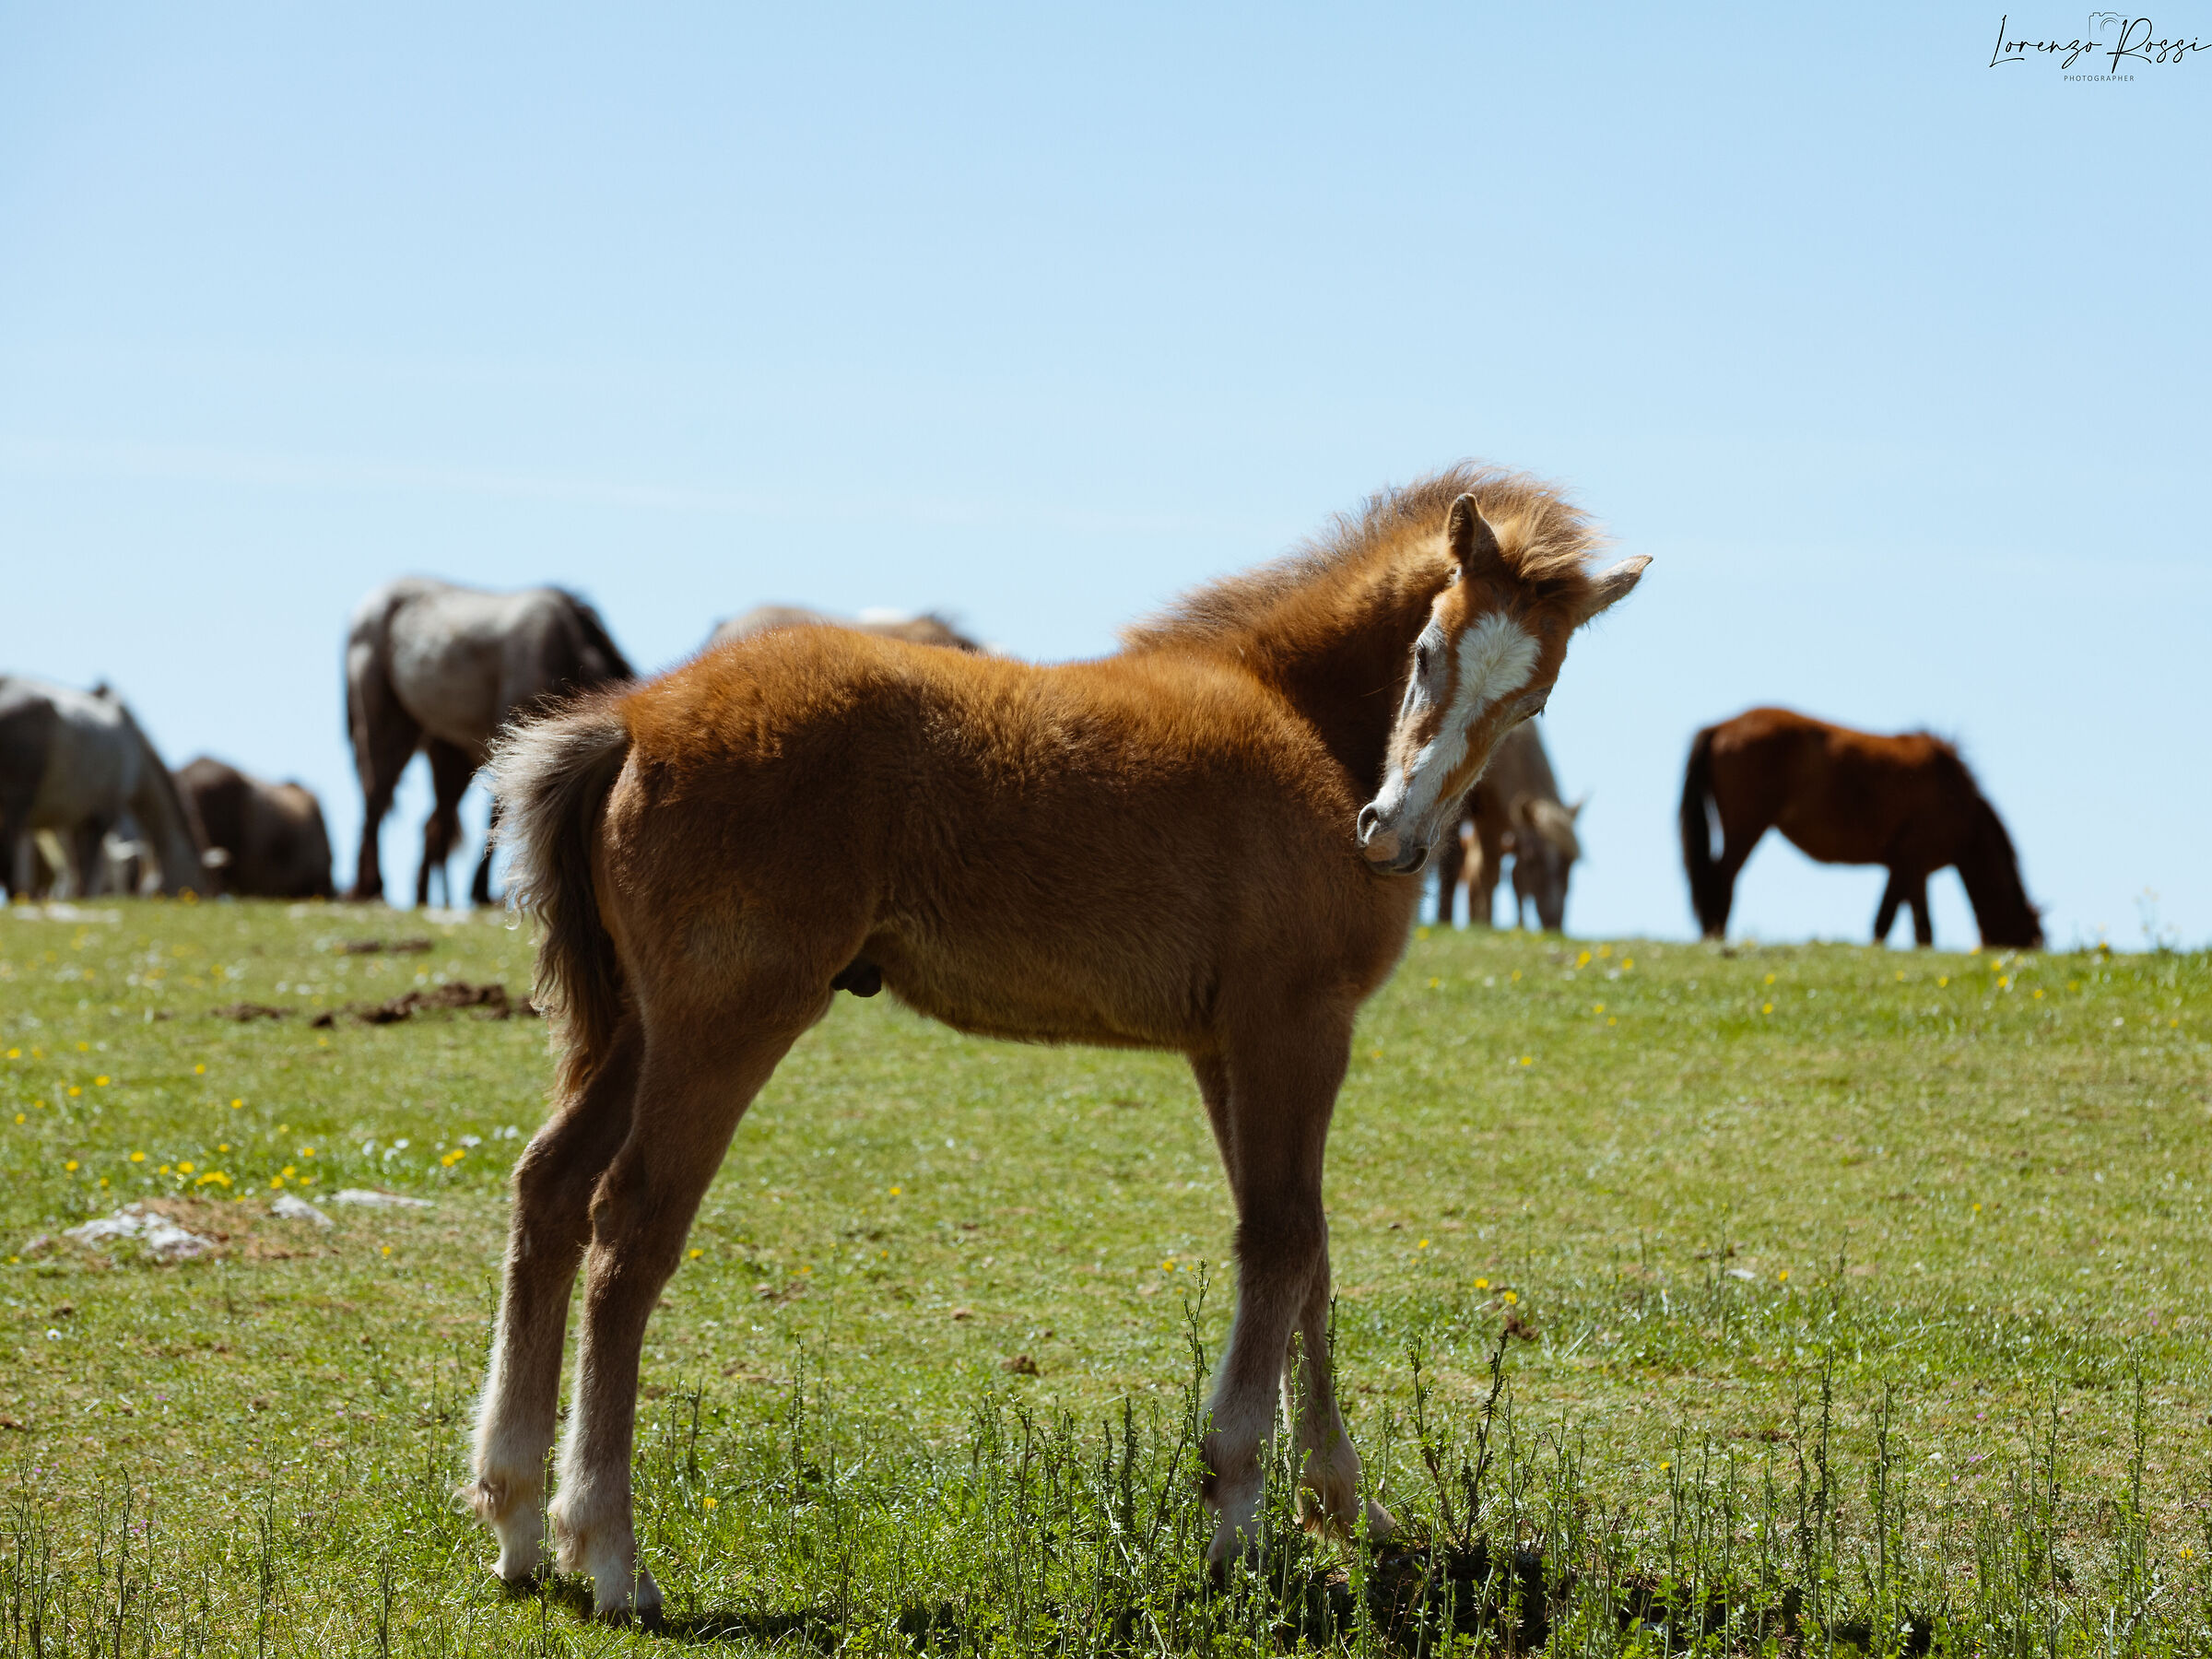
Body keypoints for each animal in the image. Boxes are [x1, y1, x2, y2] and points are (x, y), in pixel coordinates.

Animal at [0, 678, 207, 899]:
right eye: (202, 884)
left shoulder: (74, 821)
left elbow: (77, 872)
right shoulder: (103, 814)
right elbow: (87, 875)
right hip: (17, 804)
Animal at [343, 579, 633, 907]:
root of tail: (363, 611)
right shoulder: (514, 740)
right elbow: (499, 812)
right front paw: (481, 891)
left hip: (446, 751)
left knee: (432, 822)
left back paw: (420, 895)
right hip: (388, 725)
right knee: (376, 800)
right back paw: (370, 888)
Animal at [1430, 722, 1583, 930]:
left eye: (1570, 862)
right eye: (1532, 859)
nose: (1553, 921)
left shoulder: (1495, 814)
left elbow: (1488, 871)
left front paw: (1484, 923)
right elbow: (1453, 863)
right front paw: (1444, 920)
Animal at [1679, 706, 2041, 949]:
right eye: (2029, 939)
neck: (1962, 808)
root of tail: (1721, 726)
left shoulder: (1901, 868)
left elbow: (1885, 920)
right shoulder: (1915, 863)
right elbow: (1919, 928)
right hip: (1747, 826)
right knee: (1721, 877)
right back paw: (1716, 935)